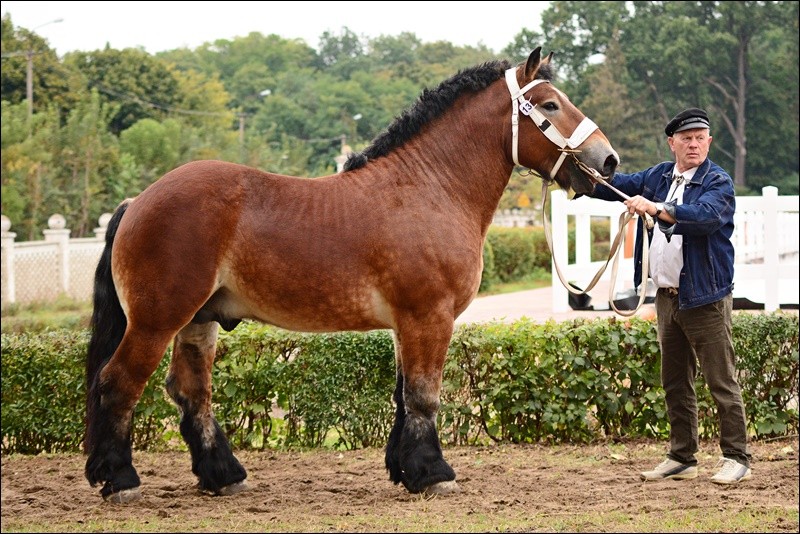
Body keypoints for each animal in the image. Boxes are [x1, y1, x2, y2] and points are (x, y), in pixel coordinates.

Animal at [84, 48, 620, 504]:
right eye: (550, 104)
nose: (608, 159)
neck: (429, 187)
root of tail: (137, 202)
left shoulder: (408, 323)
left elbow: (403, 396)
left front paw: (406, 470)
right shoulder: (430, 316)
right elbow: (424, 396)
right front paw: (434, 473)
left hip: (198, 320)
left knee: (191, 391)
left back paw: (223, 475)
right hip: (157, 321)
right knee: (118, 383)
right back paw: (121, 479)